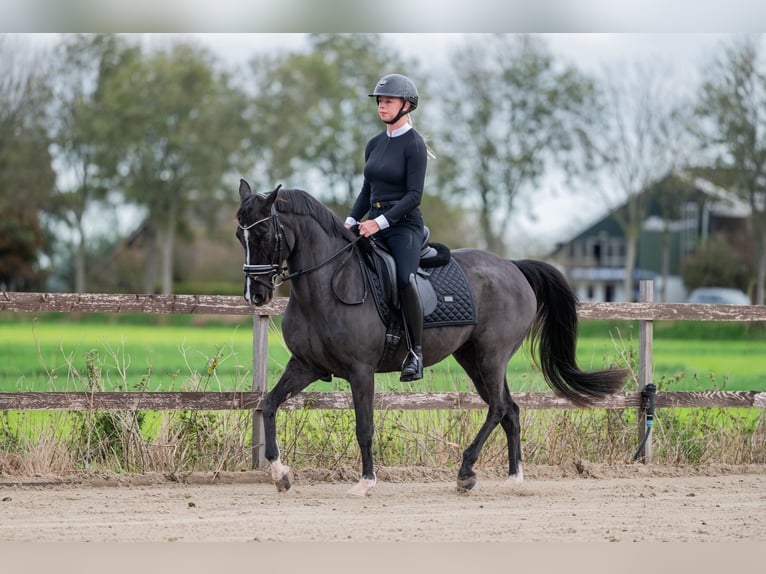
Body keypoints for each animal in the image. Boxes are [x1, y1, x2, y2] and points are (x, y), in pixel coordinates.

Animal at [235, 179, 628, 496]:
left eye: (263, 235)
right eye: (241, 237)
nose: (256, 295)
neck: (327, 284)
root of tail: (513, 267)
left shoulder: (360, 372)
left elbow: (365, 427)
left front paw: (366, 482)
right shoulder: (306, 365)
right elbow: (268, 404)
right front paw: (280, 474)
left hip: (492, 356)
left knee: (498, 408)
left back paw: (466, 471)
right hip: (472, 358)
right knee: (510, 411)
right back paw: (513, 479)